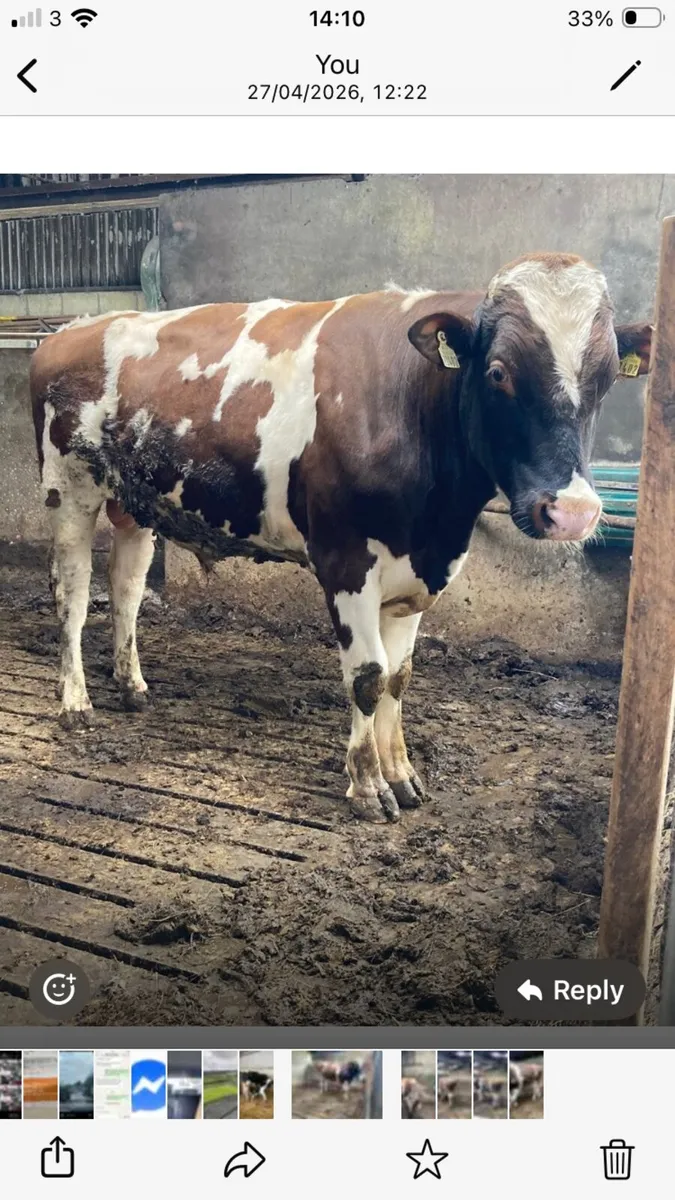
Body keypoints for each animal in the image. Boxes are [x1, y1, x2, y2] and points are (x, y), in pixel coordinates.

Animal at [30, 253, 652, 824]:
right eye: (498, 371)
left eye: (607, 377)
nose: (572, 512)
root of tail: (69, 329)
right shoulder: (345, 560)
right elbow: (368, 677)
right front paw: (367, 786)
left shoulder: (415, 573)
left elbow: (399, 678)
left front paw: (402, 773)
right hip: (69, 488)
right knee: (74, 595)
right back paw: (75, 701)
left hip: (133, 501)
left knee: (127, 589)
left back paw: (131, 684)